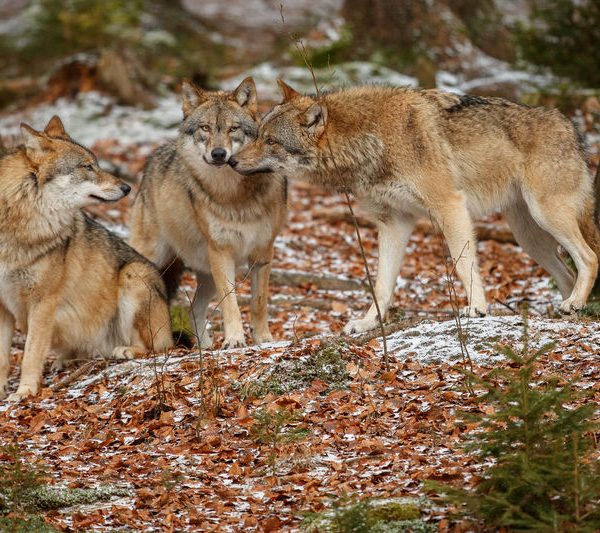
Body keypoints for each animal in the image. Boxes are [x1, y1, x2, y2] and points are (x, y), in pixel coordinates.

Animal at [0, 115, 173, 400]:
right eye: (87, 167)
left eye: (96, 164)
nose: (127, 187)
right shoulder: (3, 306)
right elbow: (4, 358)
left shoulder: (43, 302)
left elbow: (30, 355)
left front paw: (24, 392)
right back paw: (65, 360)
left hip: (134, 275)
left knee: (156, 348)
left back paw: (124, 350)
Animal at [129, 77, 288, 348]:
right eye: (205, 128)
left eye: (233, 129)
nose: (219, 154)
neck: (234, 196)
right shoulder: (221, 252)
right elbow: (230, 303)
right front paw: (234, 340)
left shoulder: (263, 252)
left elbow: (259, 303)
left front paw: (264, 338)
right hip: (152, 261)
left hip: (206, 273)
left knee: (194, 308)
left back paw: (204, 347)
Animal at [230, 80, 600, 332]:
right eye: (257, 133)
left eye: (270, 140)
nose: (231, 160)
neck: (372, 139)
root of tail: (571, 127)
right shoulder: (395, 223)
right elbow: (381, 285)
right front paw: (367, 324)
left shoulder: (450, 207)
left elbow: (464, 265)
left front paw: (477, 309)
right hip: (529, 237)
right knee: (568, 273)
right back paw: (567, 310)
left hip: (547, 216)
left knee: (589, 257)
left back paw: (574, 303)